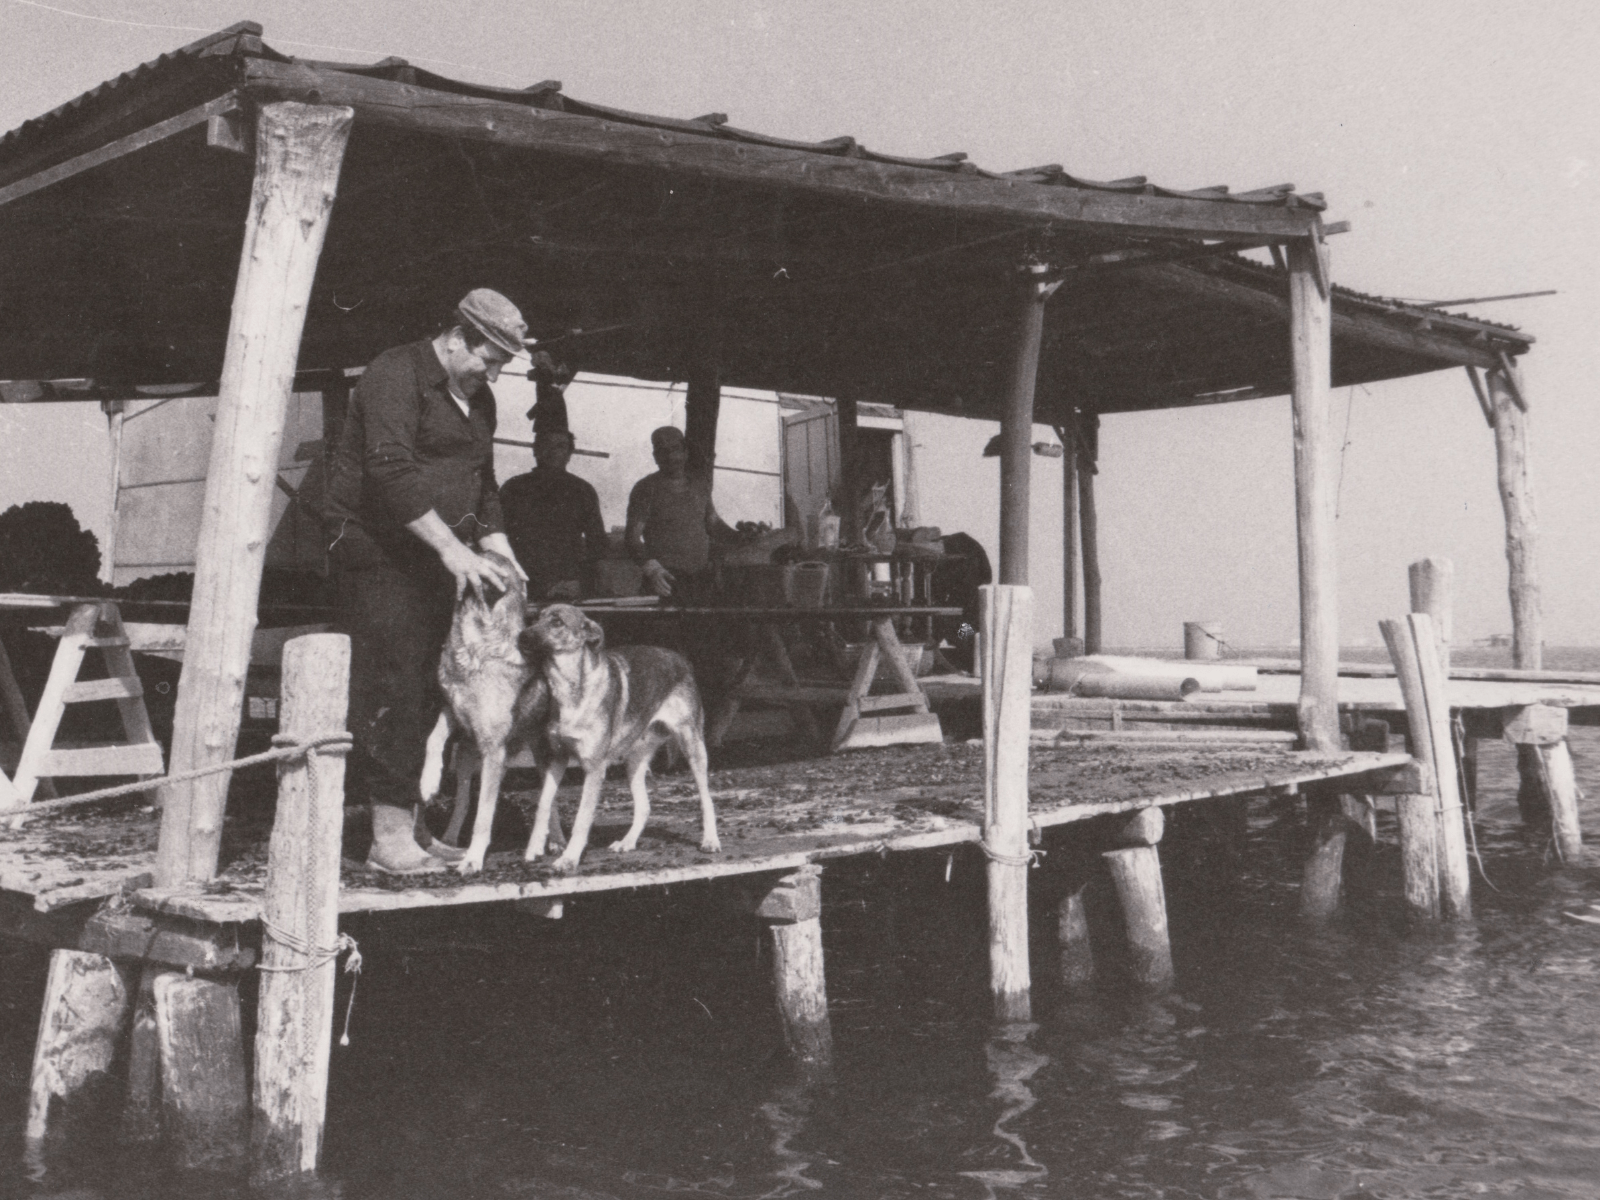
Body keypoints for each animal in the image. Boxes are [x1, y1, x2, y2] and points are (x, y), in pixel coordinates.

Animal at [422, 553, 560, 876]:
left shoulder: (494, 752)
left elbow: (484, 815)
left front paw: (474, 859)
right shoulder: (452, 710)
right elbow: (433, 740)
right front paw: (428, 782)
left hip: (540, 755)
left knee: (550, 801)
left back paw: (548, 843)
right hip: (465, 757)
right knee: (461, 801)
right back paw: (449, 838)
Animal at [518, 601, 720, 876]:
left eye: (557, 622)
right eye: (536, 619)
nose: (521, 636)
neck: (570, 688)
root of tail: (680, 659)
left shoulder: (594, 769)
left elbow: (582, 818)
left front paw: (569, 858)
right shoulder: (556, 759)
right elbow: (544, 804)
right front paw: (535, 847)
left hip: (693, 749)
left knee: (706, 800)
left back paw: (710, 840)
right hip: (634, 762)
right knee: (644, 806)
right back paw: (627, 842)